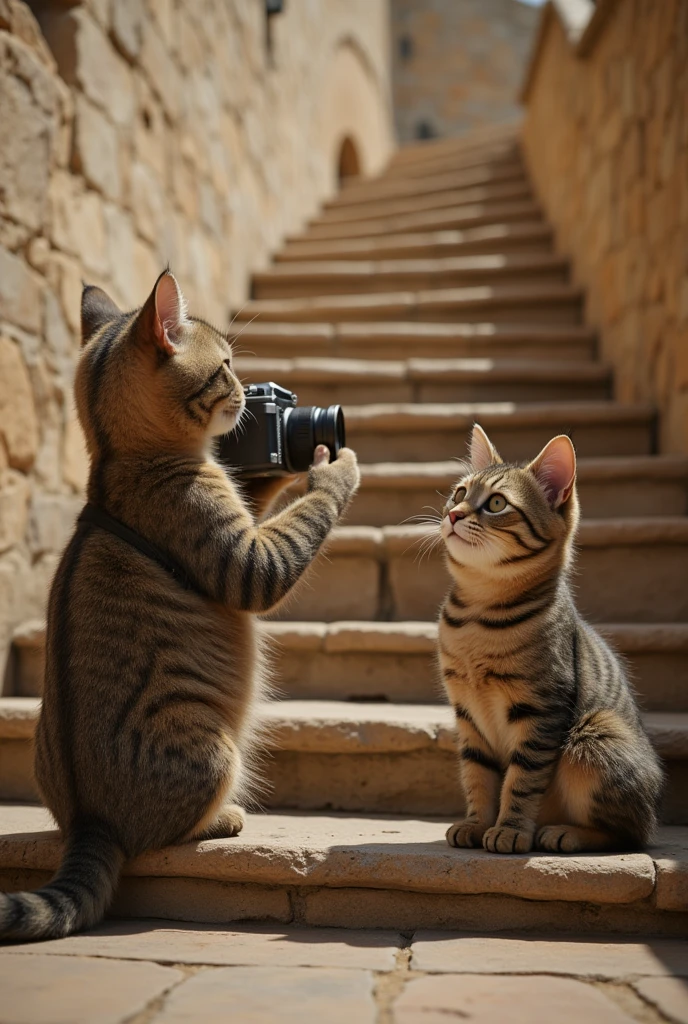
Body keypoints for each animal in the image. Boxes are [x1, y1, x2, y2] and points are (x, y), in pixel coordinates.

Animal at [2, 268, 360, 937]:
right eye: (226, 365)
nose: (248, 390)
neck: (118, 462)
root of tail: (90, 824)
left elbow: (263, 495)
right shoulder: (250, 562)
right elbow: (309, 511)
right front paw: (330, 465)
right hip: (211, 744)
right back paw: (225, 818)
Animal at [438, 423, 663, 856]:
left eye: (495, 503)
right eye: (459, 494)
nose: (454, 514)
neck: (478, 613)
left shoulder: (540, 711)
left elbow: (520, 781)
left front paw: (509, 829)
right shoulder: (466, 713)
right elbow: (477, 776)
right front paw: (476, 823)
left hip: (593, 733)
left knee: (632, 833)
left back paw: (565, 833)